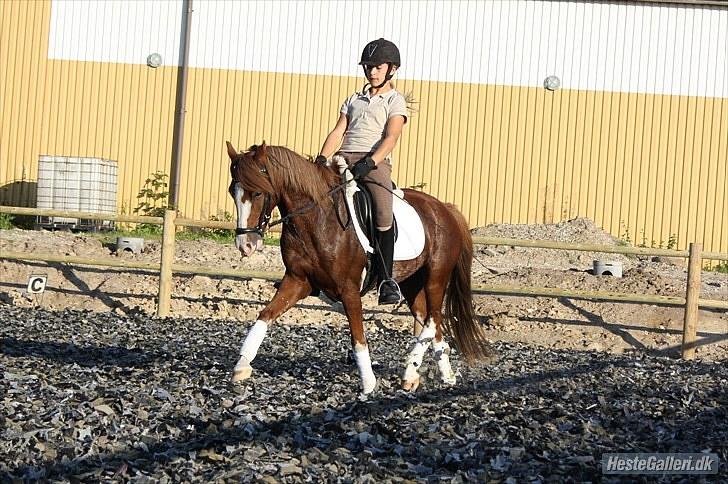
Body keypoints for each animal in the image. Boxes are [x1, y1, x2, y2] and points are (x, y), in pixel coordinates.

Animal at [228, 141, 490, 394]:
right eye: (233, 192)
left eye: (258, 192)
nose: (245, 245)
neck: (316, 219)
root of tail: (445, 209)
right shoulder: (297, 281)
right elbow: (264, 316)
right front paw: (241, 366)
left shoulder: (348, 288)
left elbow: (357, 337)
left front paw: (368, 383)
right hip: (411, 282)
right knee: (428, 319)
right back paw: (437, 375)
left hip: (436, 276)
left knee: (433, 318)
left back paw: (413, 370)